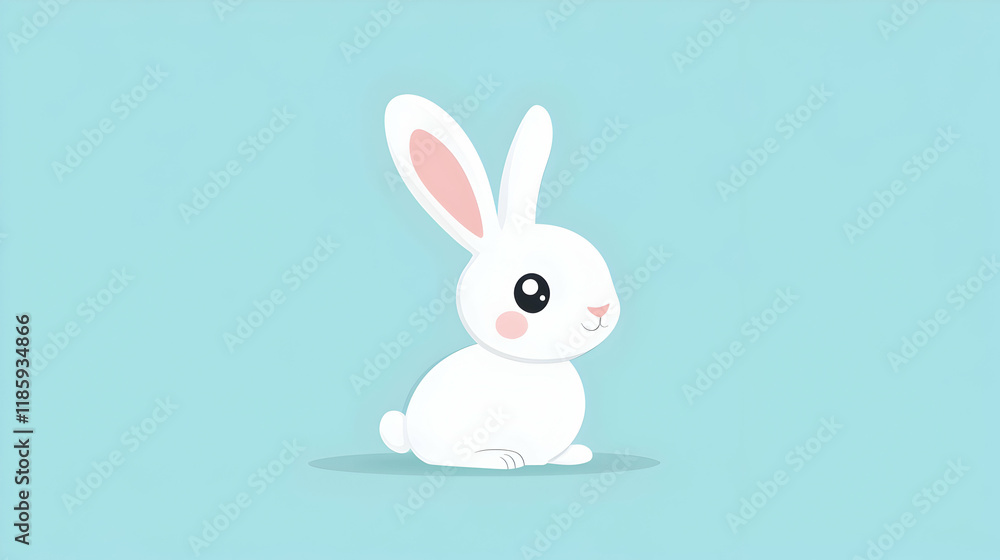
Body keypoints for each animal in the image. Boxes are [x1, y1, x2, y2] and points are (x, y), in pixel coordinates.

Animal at [379, 95, 620, 469]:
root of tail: (407, 432)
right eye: (532, 292)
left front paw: (574, 455)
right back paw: (502, 459)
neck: (528, 364)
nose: (600, 309)